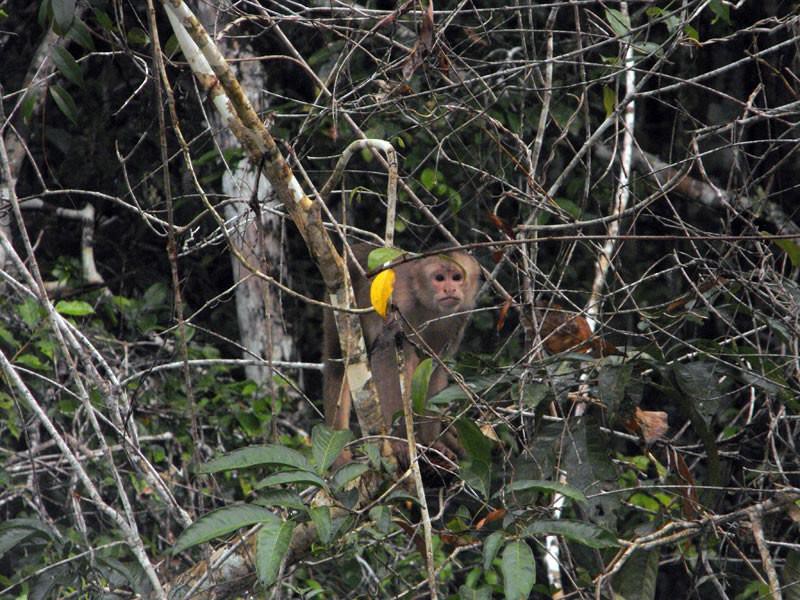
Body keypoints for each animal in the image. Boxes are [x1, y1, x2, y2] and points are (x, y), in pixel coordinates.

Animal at [323, 243, 480, 465]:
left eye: (457, 277)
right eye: (440, 278)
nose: (450, 289)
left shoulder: (460, 317)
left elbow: (433, 366)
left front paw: (433, 441)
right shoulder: (400, 301)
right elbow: (388, 358)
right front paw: (398, 442)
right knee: (339, 364)